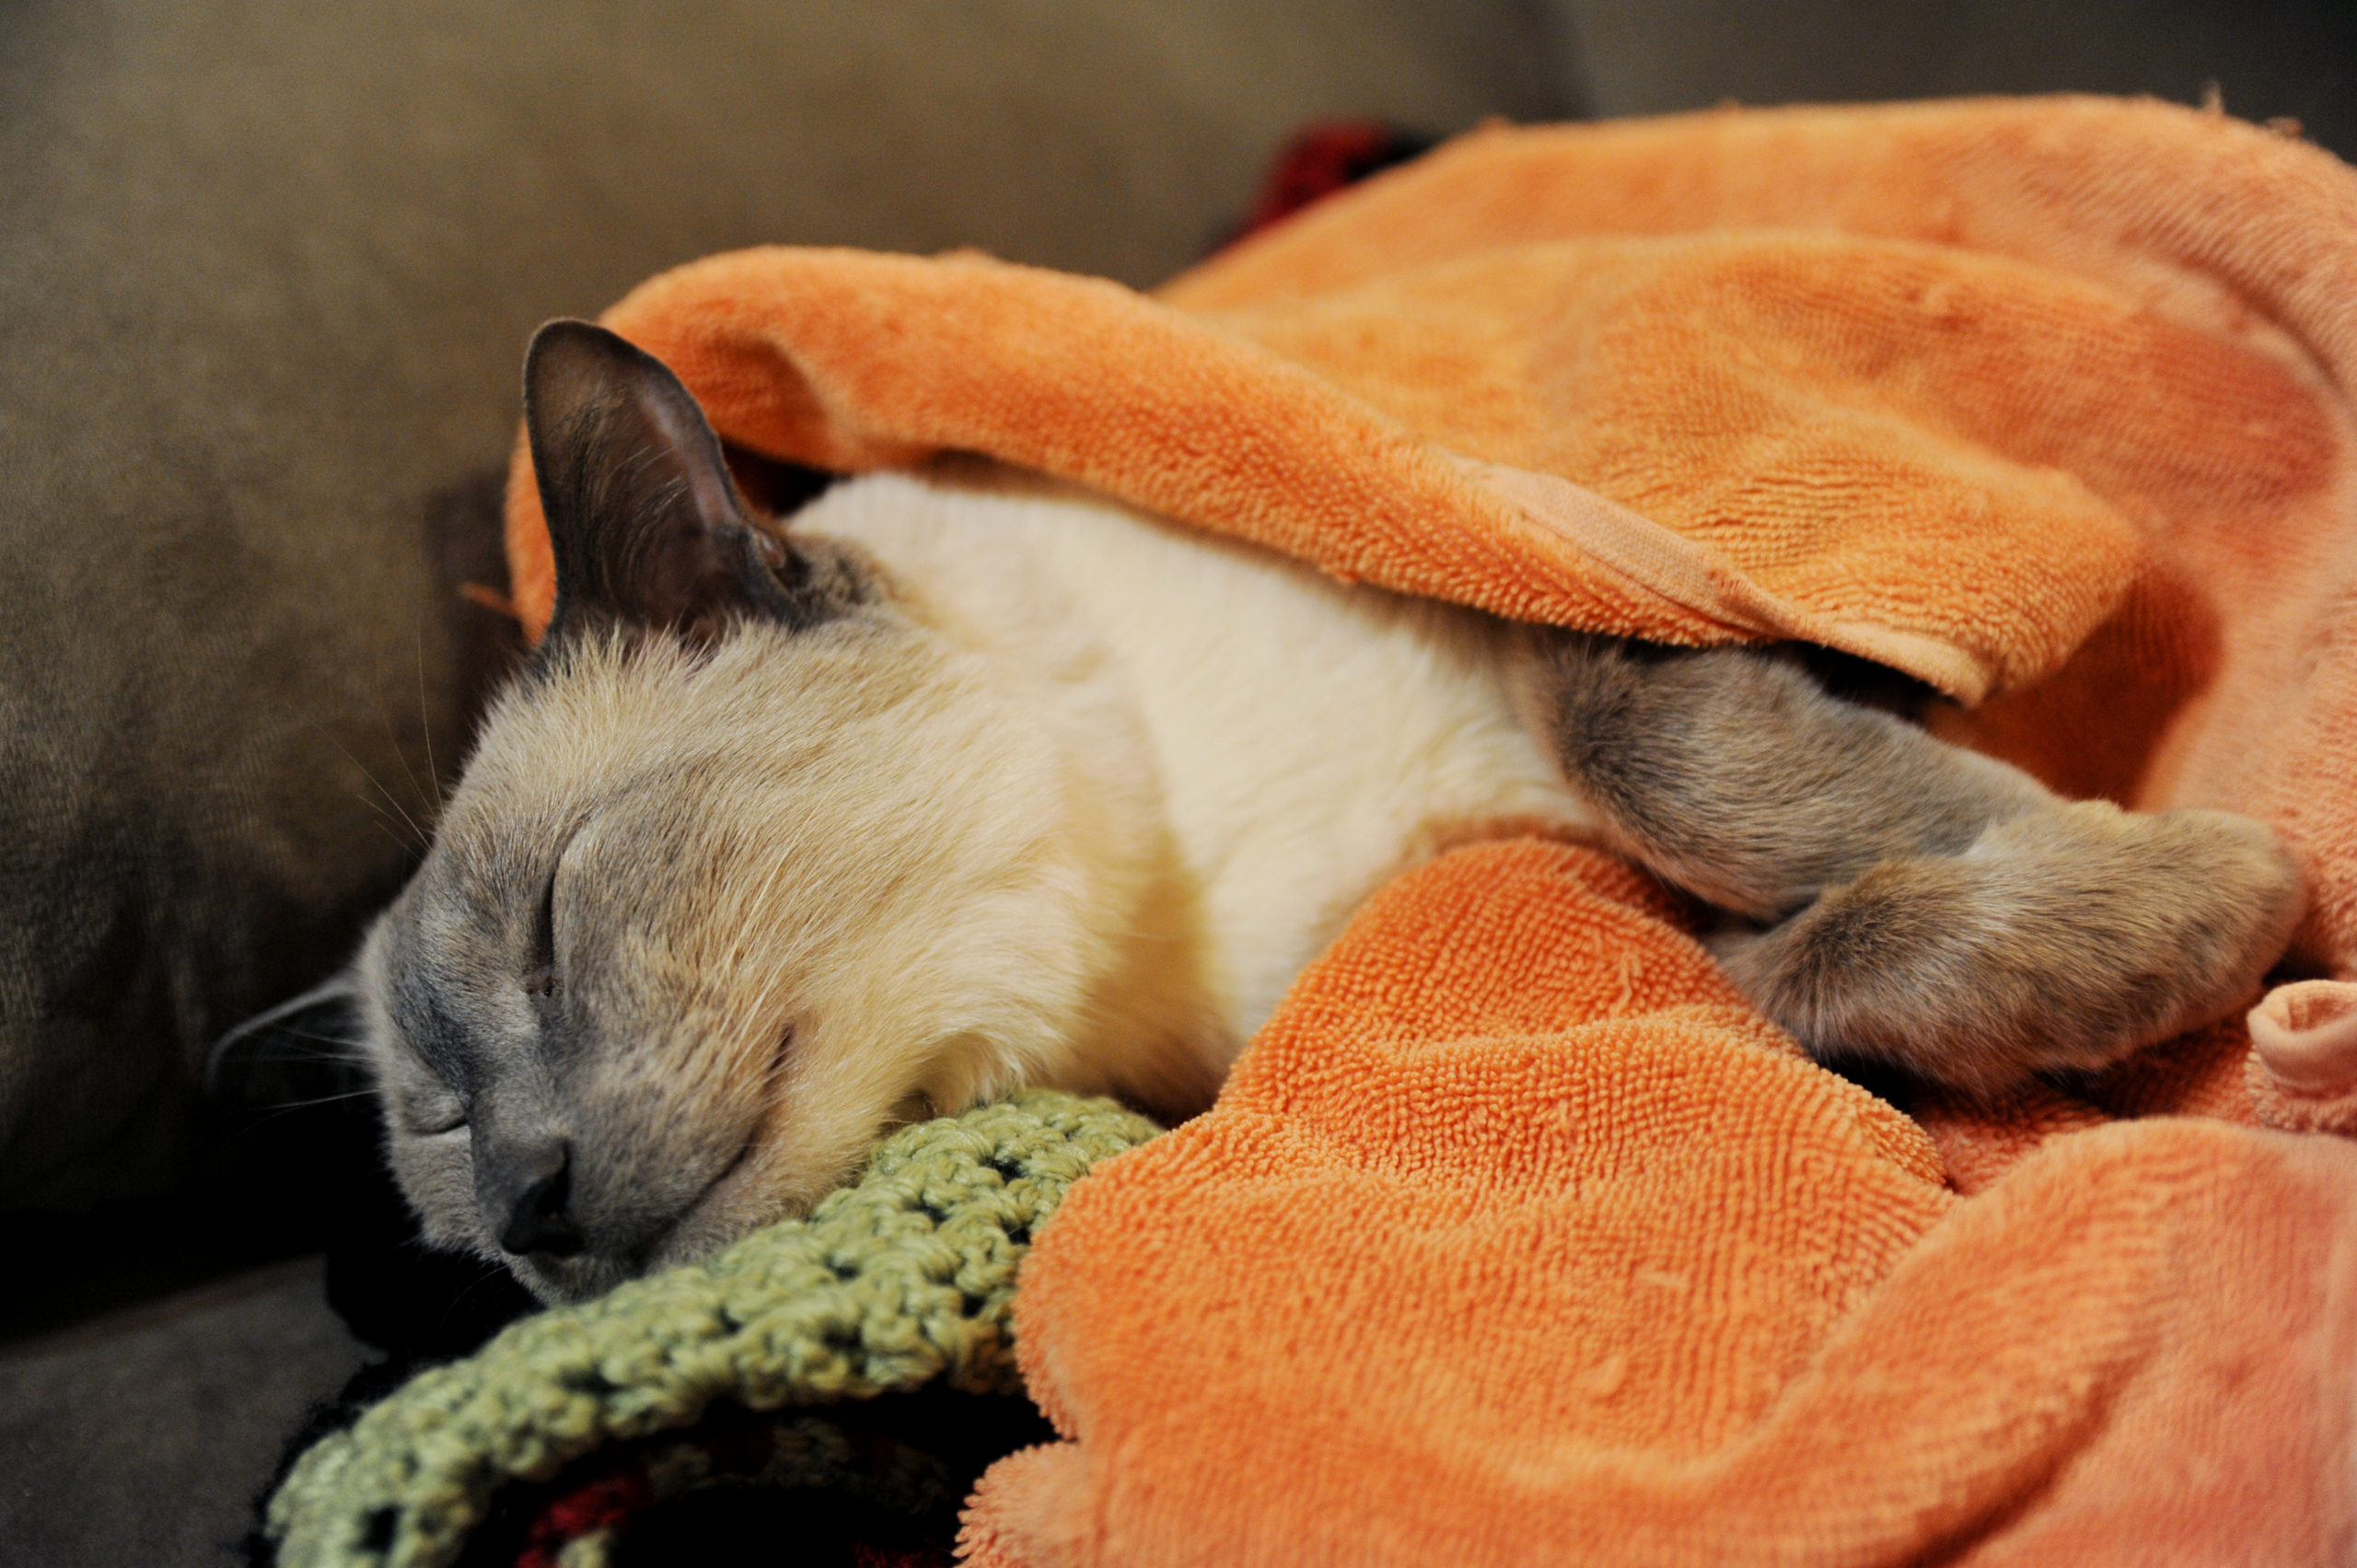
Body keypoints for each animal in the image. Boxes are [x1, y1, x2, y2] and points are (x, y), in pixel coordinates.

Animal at [343, 322, 2300, 1301]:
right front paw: (2164, 930)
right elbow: (1783, 971)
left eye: (551, 930)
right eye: (438, 1134)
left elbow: (1700, 765)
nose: (527, 1210)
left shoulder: (1562, 625)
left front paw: (2211, 893)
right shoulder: (1600, 915)